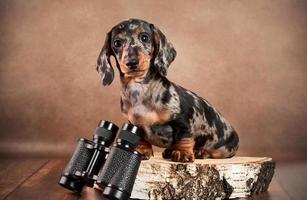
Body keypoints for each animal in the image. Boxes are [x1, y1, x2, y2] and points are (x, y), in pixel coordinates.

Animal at [95, 18, 238, 162]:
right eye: (117, 43)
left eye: (144, 37)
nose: (131, 62)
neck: (140, 90)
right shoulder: (134, 123)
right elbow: (140, 139)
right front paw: (141, 150)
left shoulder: (184, 120)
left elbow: (184, 137)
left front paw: (182, 152)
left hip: (224, 148)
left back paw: (200, 152)